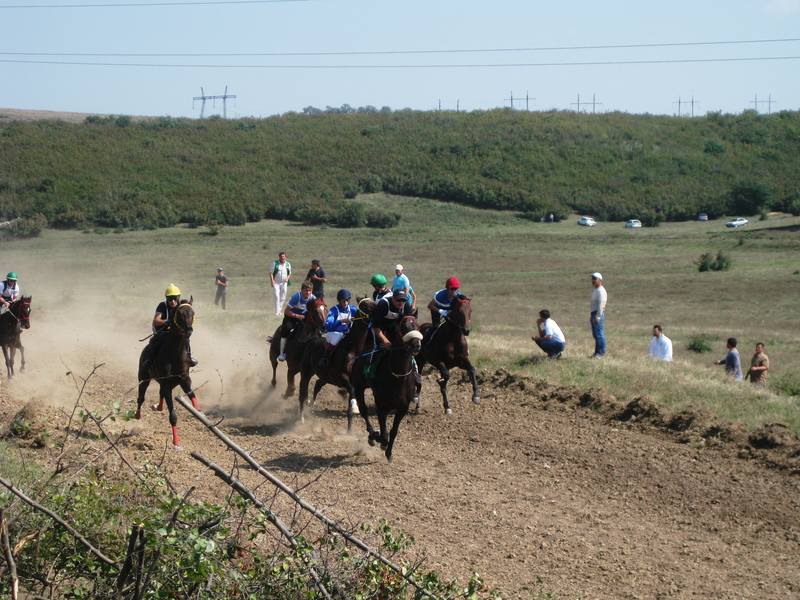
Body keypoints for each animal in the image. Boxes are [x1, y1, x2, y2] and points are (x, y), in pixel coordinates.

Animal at [136, 300, 198, 450]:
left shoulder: (184, 379)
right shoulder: (166, 384)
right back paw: (137, 414)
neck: (174, 353)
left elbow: (192, 395)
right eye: (180, 314)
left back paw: (158, 406)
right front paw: (176, 442)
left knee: (160, 394)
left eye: (192, 313)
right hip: (144, 377)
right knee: (141, 397)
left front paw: (200, 412)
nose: (189, 330)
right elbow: (173, 416)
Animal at [352, 316, 422, 462]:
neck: (397, 376)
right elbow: (383, 433)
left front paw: (389, 453)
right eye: (403, 327)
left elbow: (393, 431)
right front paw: (380, 440)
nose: (416, 345)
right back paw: (372, 435)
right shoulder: (381, 405)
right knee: (364, 411)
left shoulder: (402, 408)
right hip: (359, 386)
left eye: (418, 326)